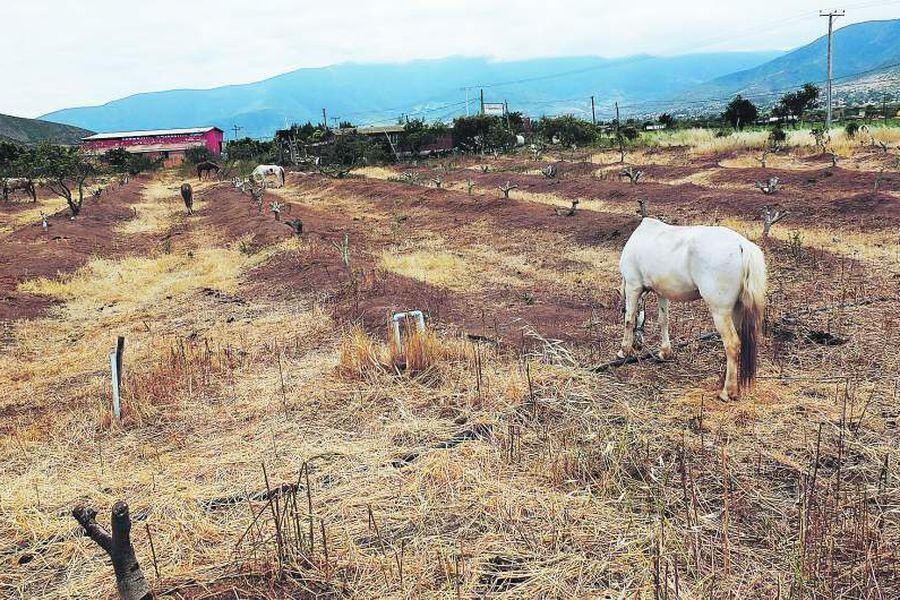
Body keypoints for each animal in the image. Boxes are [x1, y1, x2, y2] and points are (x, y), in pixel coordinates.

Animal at [620, 218, 768, 400]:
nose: (639, 344)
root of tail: (742, 246)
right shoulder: (662, 292)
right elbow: (663, 321)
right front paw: (664, 352)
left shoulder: (632, 286)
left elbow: (629, 319)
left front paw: (624, 350)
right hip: (737, 309)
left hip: (720, 312)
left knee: (732, 344)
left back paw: (728, 392)